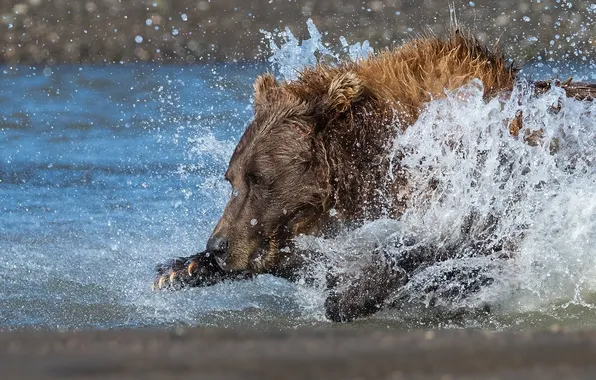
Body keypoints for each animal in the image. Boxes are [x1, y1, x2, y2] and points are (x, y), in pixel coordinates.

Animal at [152, 29, 596, 320]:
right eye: (232, 178)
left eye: (260, 178)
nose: (217, 246)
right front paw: (179, 269)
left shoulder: (489, 179)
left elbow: (449, 241)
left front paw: (354, 291)